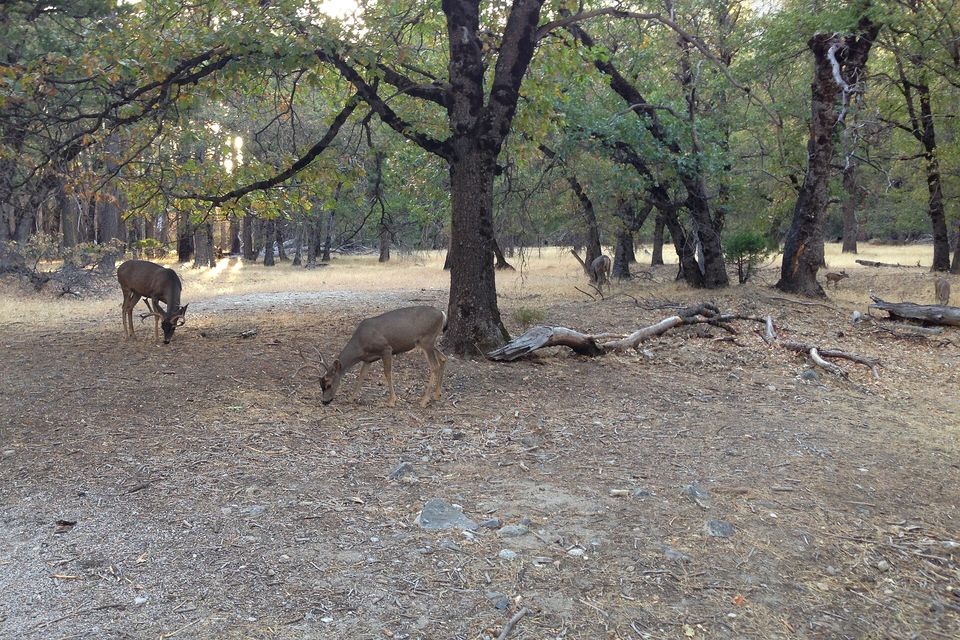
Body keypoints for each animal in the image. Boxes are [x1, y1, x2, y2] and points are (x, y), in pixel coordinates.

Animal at [318, 306, 447, 409]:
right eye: (321, 385)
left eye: (329, 384)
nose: (324, 401)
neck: (360, 345)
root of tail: (442, 313)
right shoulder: (368, 359)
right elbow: (362, 375)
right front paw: (351, 398)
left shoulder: (386, 349)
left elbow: (387, 372)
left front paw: (392, 401)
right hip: (429, 342)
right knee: (443, 358)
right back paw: (437, 394)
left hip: (427, 340)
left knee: (434, 366)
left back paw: (424, 401)